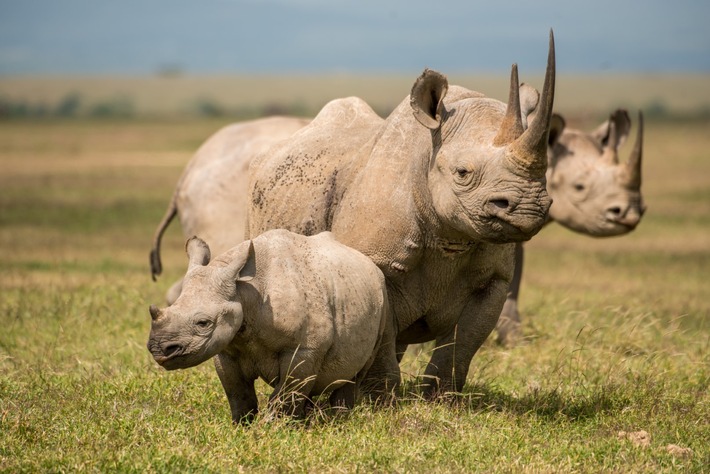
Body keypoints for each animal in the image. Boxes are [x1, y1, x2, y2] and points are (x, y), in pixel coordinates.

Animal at [146, 230, 390, 422]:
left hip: (382, 295)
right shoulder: (226, 349)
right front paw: (242, 427)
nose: (158, 349)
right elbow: (238, 393)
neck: (245, 292)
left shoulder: (303, 348)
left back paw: (339, 418)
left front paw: (273, 427)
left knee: (357, 371)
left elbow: (285, 393)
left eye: (203, 323)